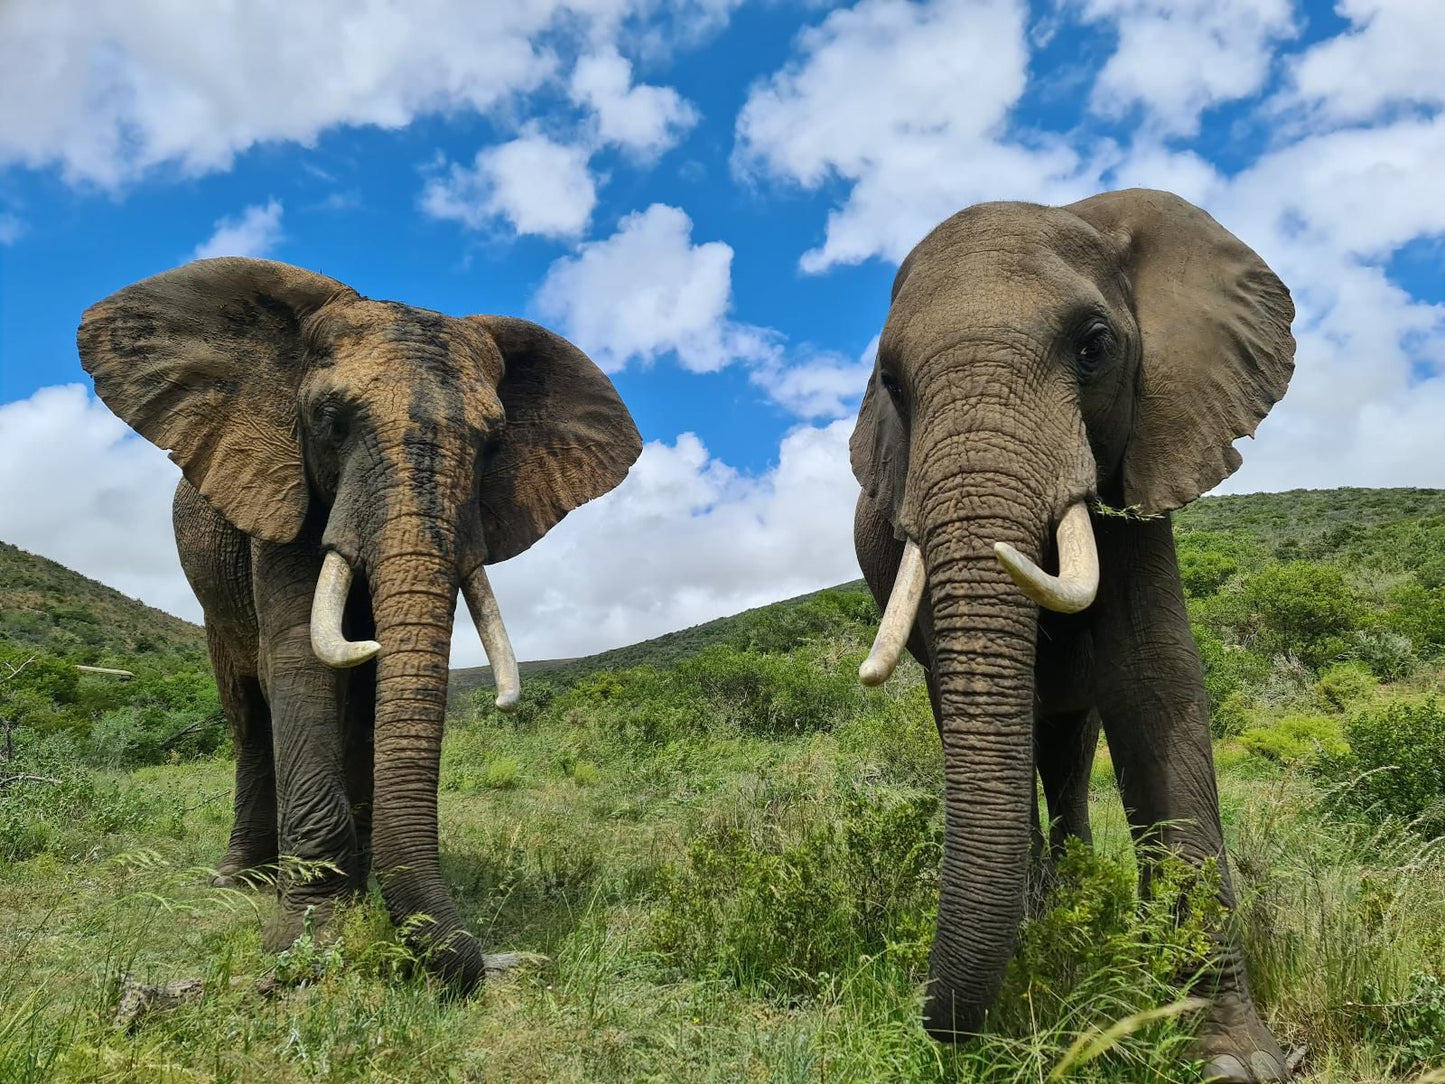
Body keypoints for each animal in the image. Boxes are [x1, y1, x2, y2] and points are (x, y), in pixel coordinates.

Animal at [76, 258, 641, 988]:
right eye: (330, 420)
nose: (481, 962)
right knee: (247, 710)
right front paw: (307, 940)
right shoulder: (278, 486)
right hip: (212, 597)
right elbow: (301, 658)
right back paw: (239, 879)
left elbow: (372, 682)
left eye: (492, 445)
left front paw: (357, 900)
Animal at [849, 190, 1294, 1081]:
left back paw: (1077, 894)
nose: (927, 1016)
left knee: (1068, 744)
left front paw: (1231, 1062)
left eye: (1093, 348)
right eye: (889, 382)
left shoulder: (1145, 451)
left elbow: (1152, 684)